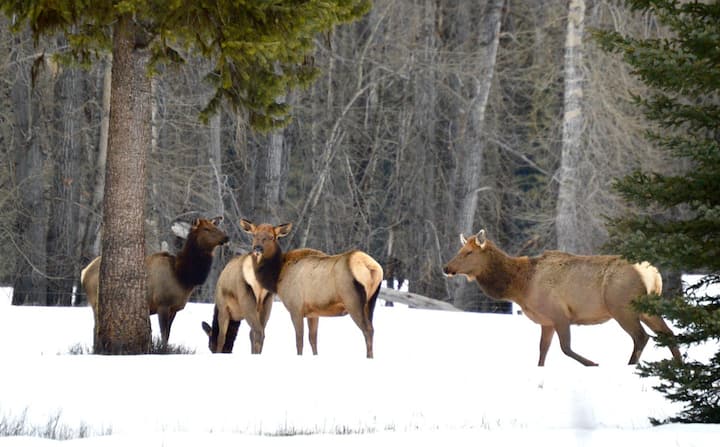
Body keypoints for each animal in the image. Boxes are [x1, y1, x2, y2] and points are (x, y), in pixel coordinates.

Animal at [81, 217, 228, 346]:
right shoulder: (162, 304)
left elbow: (168, 335)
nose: (226, 237)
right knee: (95, 329)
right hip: (96, 302)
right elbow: (163, 336)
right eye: (206, 229)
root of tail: (84, 272)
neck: (183, 277)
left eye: (216, 226)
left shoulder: (174, 309)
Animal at [239, 220, 382, 360]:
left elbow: (299, 341)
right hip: (371, 302)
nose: (258, 248)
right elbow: (312, 339)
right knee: (372, 328)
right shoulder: (313, 312)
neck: (277, 277)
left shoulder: (295, 308)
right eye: (254, 235)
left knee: (367, 330)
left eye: (272, 237)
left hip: (353, 300)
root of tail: (371, 267)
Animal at [442, 231, 684, 368]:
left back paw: (631, 365)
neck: (521, 286)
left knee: (642, 337)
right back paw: (680, 366)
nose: (446, 268)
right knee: (668, 333)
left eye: (469, 252)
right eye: (460, 249)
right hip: (648, 307)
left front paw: (592, 363)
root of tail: (653, 273)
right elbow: (542, 350)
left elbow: (565, 348)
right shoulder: (546, 321)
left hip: (622, 307)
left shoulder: (559, 314)